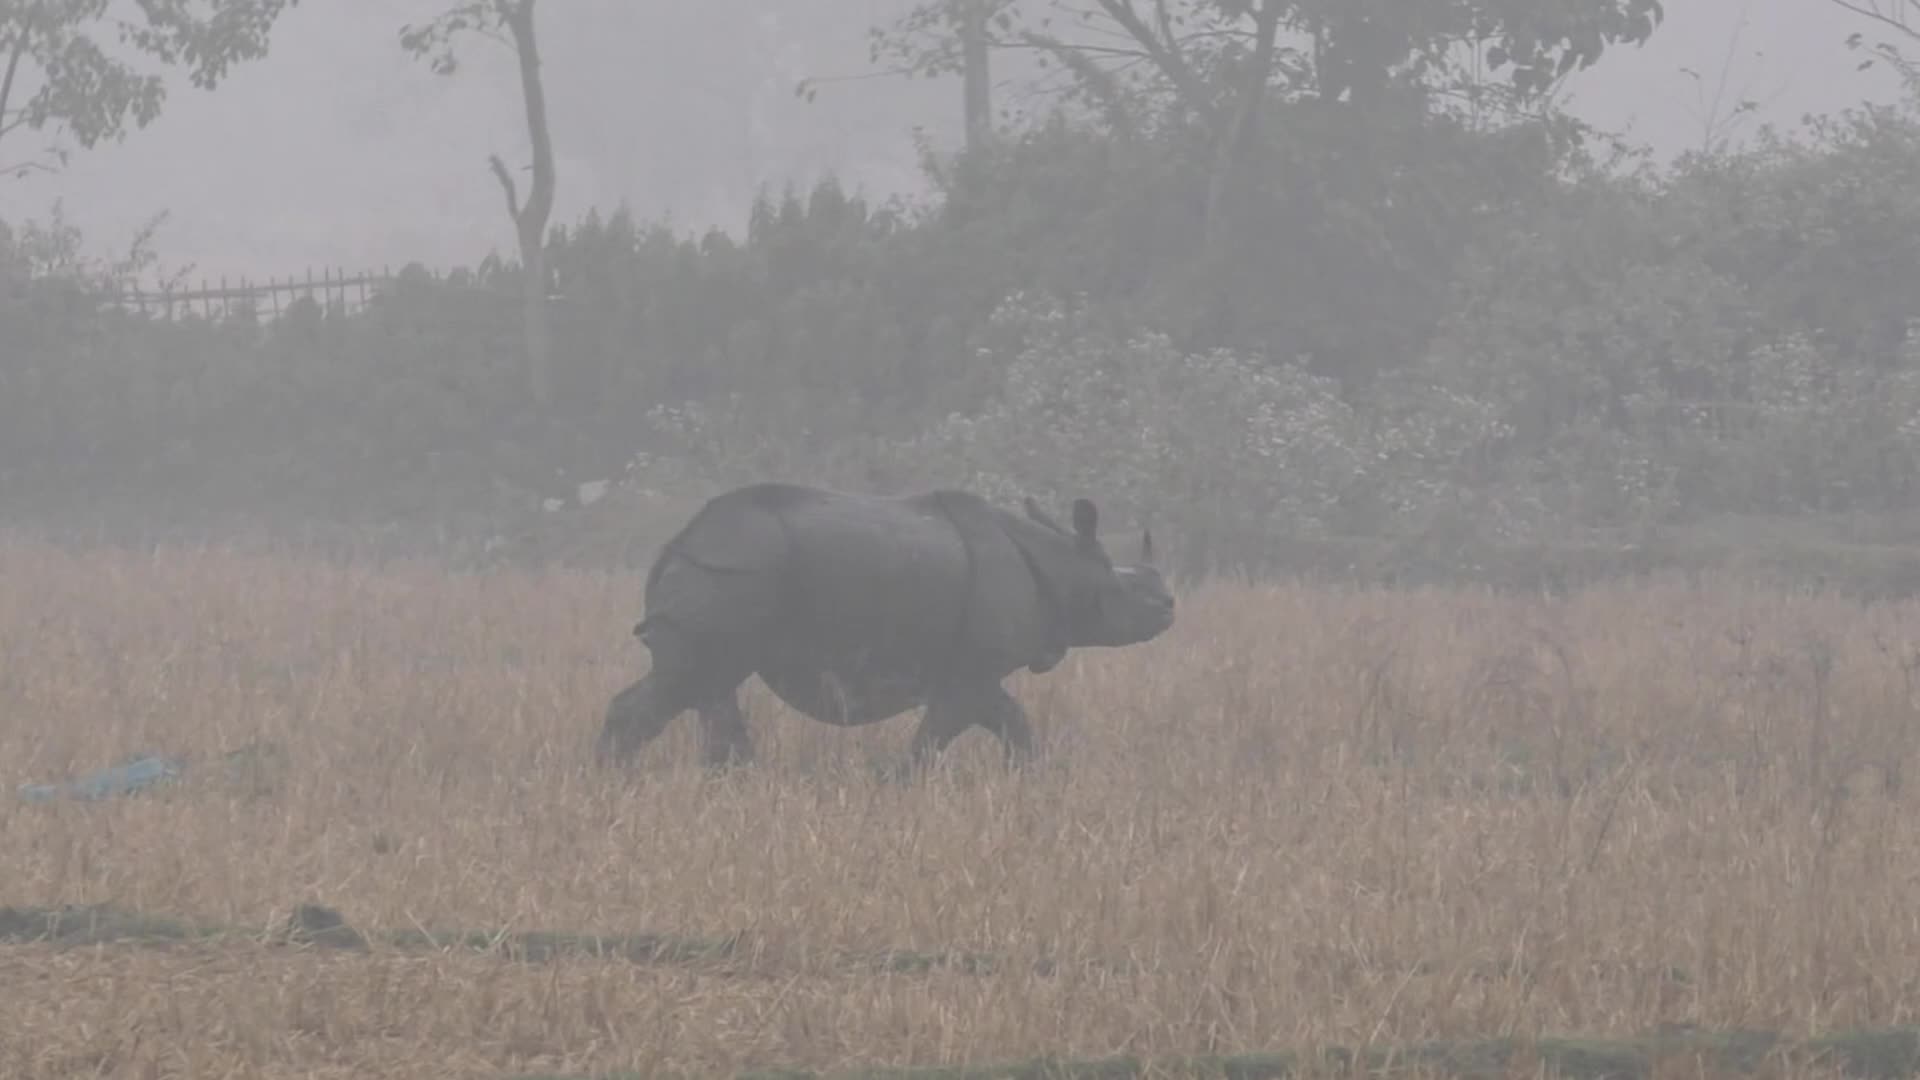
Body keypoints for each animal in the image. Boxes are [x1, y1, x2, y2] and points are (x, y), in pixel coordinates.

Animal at [597, 481, 1176, 770]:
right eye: (1127, 592)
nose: (1170, 606)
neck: (1060, 562)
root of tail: (678, 541)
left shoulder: (973, 673)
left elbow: (1014, 724)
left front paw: (1029, 779)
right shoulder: (970, 675)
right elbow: (935, 739)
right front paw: (902, 786)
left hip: (726, 577)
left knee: (707, 686)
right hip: (735, 574)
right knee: (693, 681)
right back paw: (617, 782)